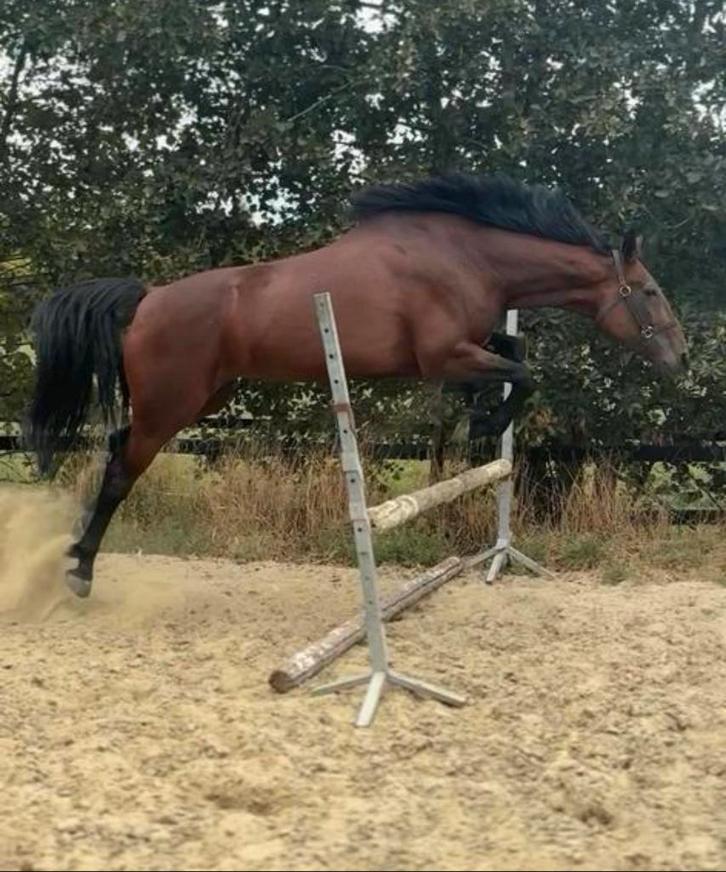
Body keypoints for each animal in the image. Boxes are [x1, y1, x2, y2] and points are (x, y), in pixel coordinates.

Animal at [24, 173, 688, 597]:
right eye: (650, 290)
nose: (679, 356)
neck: (468, 257)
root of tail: (147, 299)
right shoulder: (443, 355)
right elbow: (524, 375)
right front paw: (485, 424)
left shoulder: (468, 347)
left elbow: (516, 354)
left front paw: (478, 418)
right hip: (173, 404)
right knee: (121, 470)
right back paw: (80, 572)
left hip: (202, 397)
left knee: (116, 451)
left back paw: (75, 555)